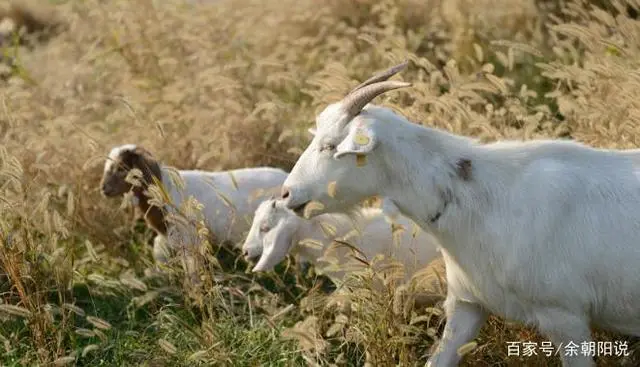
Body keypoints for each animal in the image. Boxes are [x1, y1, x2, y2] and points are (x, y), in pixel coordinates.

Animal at [100, 144, 288, 282]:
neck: (165, 190)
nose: (103, 189)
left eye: (121, 168)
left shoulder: (188, 238)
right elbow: (160, 251)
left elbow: (190, 266)